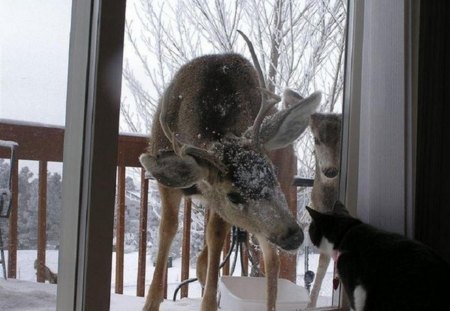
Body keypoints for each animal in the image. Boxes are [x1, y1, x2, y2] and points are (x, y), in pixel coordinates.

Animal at [139, 31, 322, 310]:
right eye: (233, 195)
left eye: (271, 174)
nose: (293, 236)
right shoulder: (170, 184)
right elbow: (168, 229)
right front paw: (150, 302)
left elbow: (215, 238)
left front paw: (208, 303)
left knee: (270, 259)